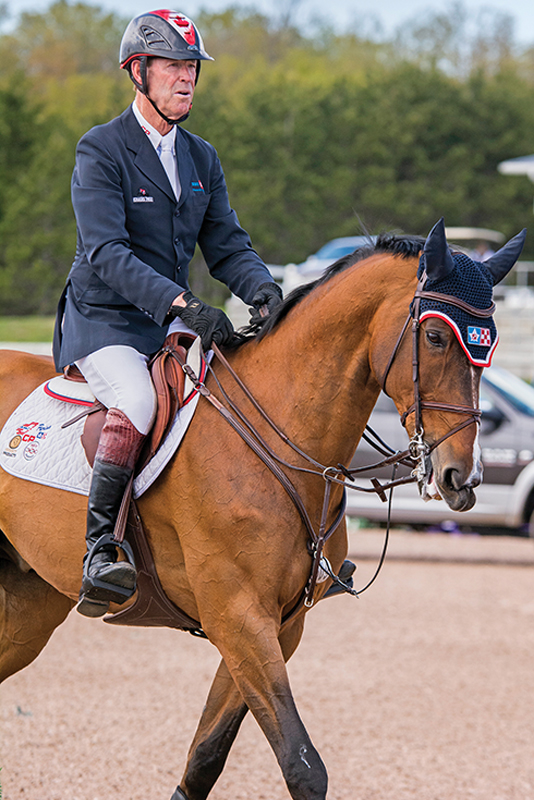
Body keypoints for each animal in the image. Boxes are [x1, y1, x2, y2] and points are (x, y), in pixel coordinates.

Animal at [0, 219, 524, 800]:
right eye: (434, 337)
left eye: (490, 346)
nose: (463, 478)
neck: (282, 433)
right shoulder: (238, 616)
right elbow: (303, 765)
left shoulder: (276, 625)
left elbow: (205, 757)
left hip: (27, 606)